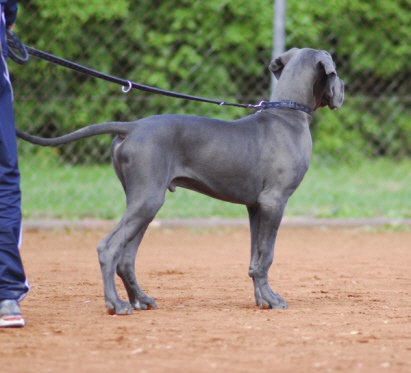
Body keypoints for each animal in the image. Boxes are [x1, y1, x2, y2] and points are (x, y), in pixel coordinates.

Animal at [16, 47, 344, 314]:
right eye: (335, 70)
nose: (344, 87)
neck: (288, 113)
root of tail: (132, 127)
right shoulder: (274, 202)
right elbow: (267, 256)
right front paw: (273, 300)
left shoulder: (255, 206)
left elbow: (255, 258)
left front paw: (261, 299)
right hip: (148, 199)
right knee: (108, 249)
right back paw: (117, 305)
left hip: (143, 201)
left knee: (126, 257)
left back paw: (141, 300)